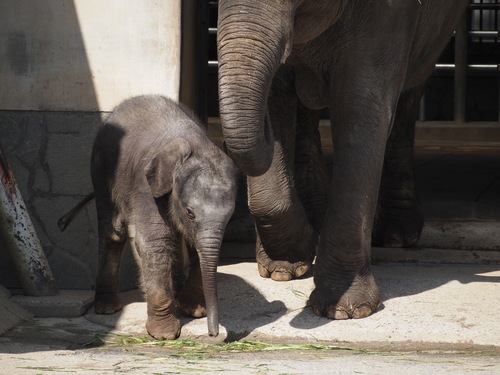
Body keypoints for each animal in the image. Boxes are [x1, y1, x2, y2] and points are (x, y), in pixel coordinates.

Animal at [58, 94, 238, 340]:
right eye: (189, 212)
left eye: (230, 217)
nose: (214, 334)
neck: (194, 146)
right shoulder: (146, 184)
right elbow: (155, 243)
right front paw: (165, 335)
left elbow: (194, 244)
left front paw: (194, 311)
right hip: (101, 169)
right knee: (113, 232)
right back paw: (107, 309)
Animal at [218, 0, 468, 320]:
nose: (223, 144)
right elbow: (277, 92)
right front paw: (288, 265)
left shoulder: (391, 14)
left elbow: (361, 108)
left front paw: (345, 310)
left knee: (409, 95)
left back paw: (396, 237)